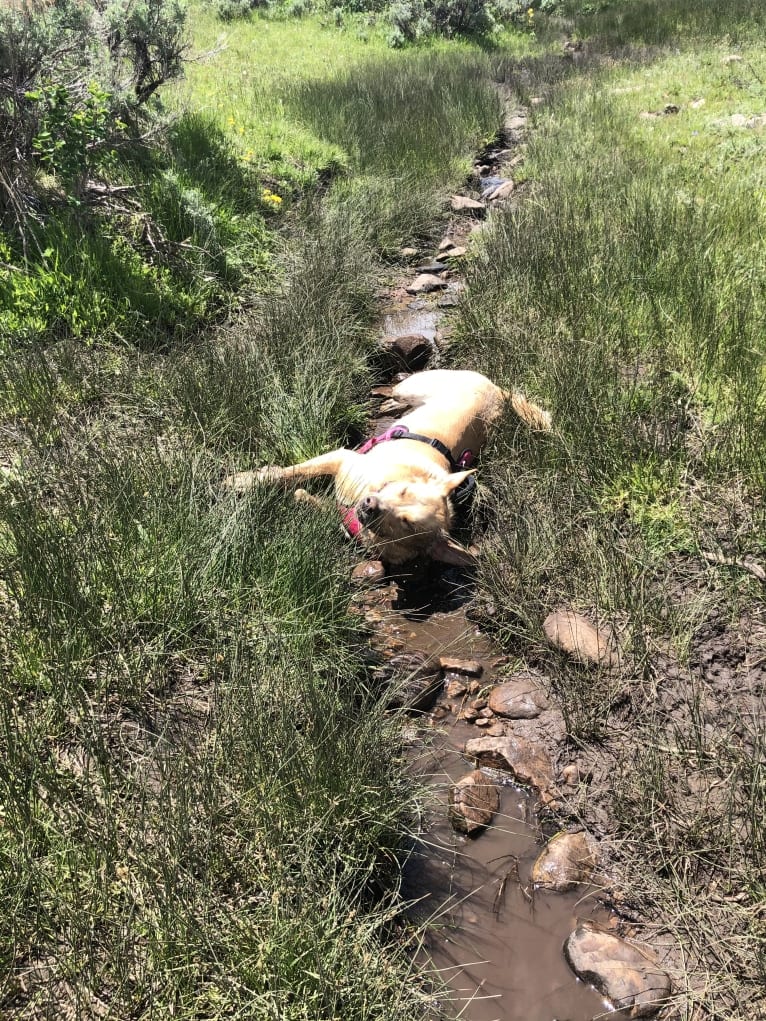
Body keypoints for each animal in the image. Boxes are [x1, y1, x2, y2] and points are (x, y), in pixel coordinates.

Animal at [224, 371, 547, 567]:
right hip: (416, 386)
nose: (369, 504)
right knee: (395, 388)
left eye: (408, 525)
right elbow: (293, 472)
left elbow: (313, 499)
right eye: (402, 490)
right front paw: (245, 481)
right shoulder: (343, 457)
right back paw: (389, 401)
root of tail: (500, 393)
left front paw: (305, 499)